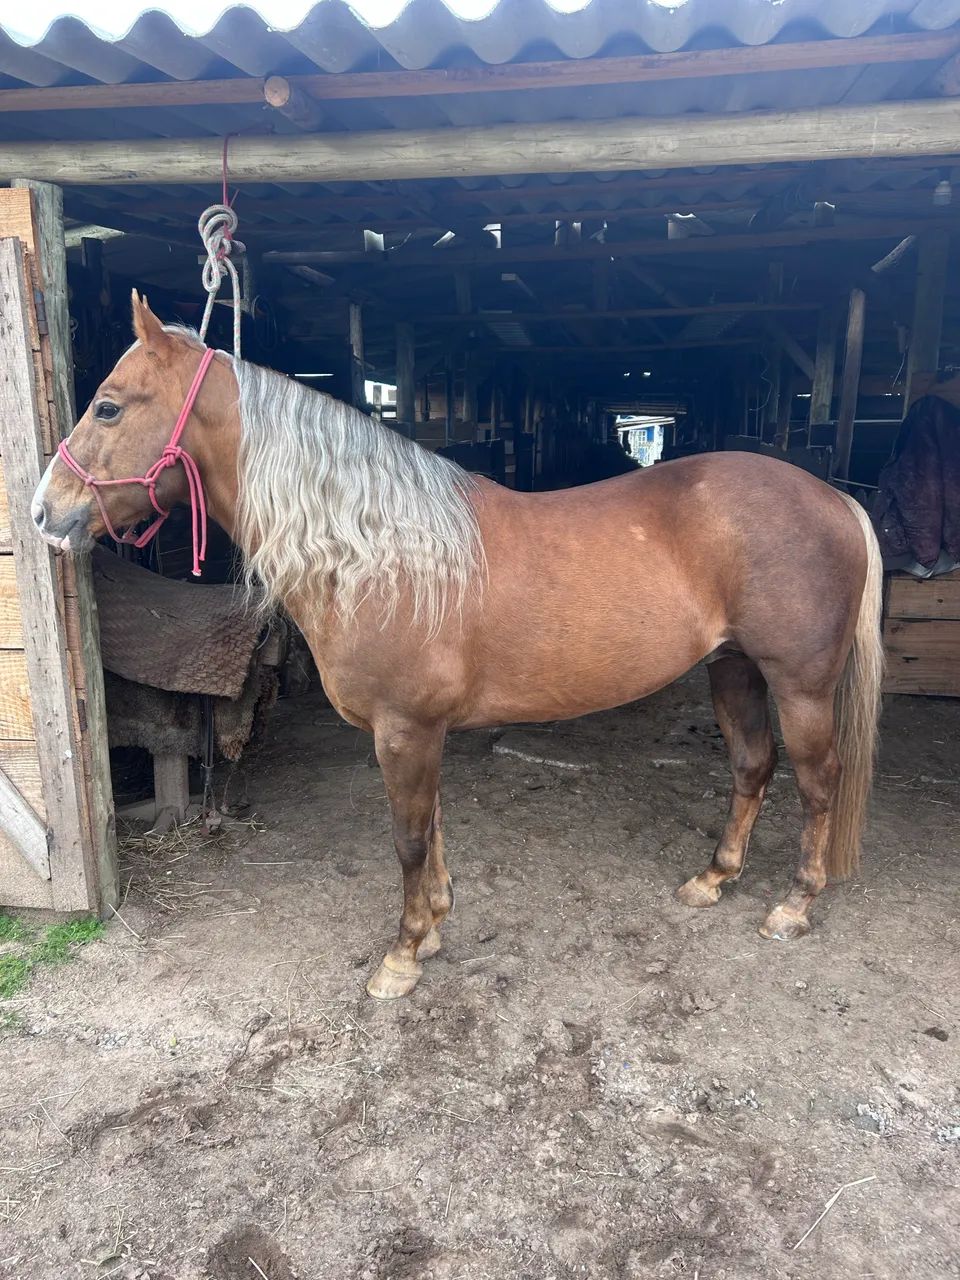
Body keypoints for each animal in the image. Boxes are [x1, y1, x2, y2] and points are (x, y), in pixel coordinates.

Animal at [33, 294, 883, 1000]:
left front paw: (404, 955)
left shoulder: (404, 730)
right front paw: (436, 926)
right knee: (753, 768)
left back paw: (792, 905)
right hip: (734, 671)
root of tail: (833, 498)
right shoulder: (420, 733)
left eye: (108, 407)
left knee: (818, 782)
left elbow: (409, 839)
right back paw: (714, 879)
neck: (378, 551)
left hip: (800, 685)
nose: (44, 513)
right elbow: (433, 829)